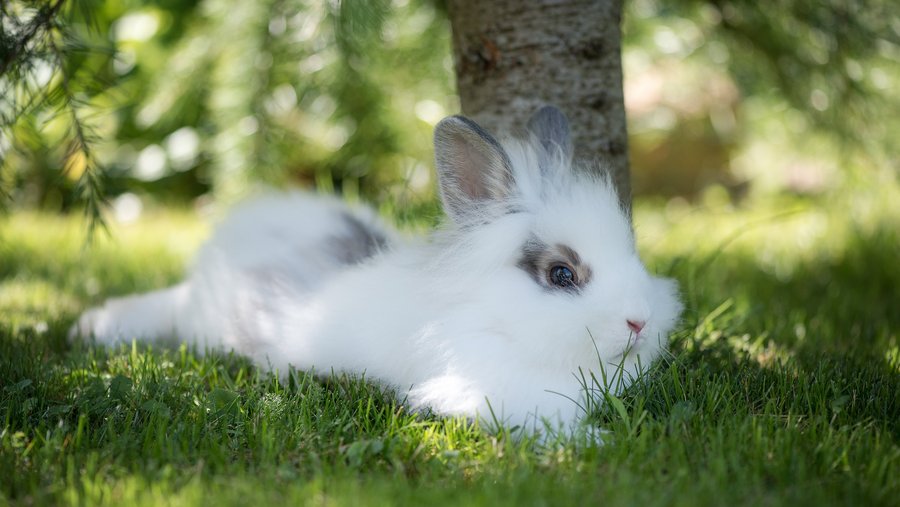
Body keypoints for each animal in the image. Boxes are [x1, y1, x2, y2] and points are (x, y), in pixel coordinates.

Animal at [75, 105, 684, 434]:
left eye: (632, 253)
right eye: (561, 275)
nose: (640, 323)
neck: (495, 319)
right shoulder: (485, 391)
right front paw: (593, 443)